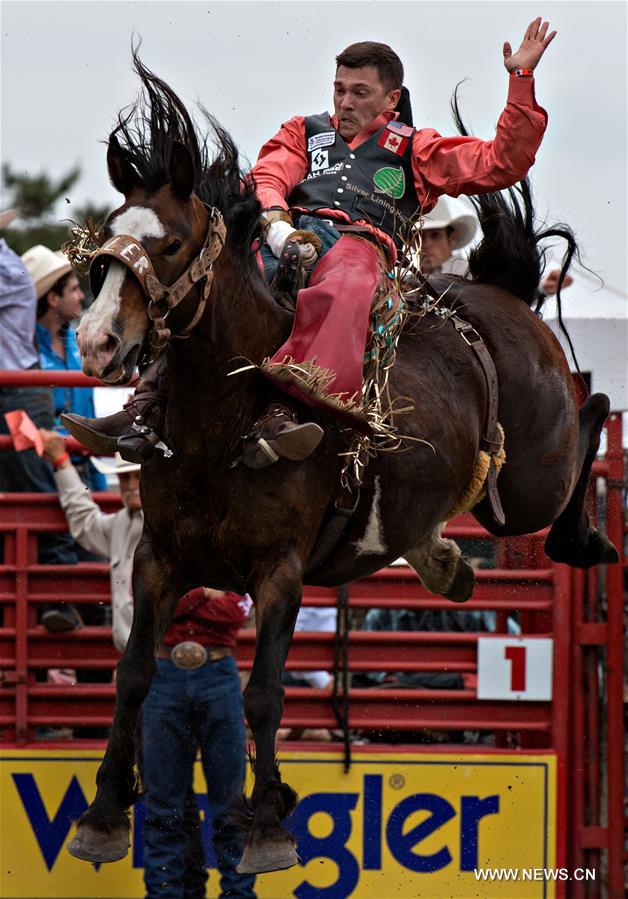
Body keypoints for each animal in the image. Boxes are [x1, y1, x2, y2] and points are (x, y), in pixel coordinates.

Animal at [63, 54, 620, 872]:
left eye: (167, 245)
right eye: (106, 240)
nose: (97, 341)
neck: (221, 424)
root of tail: (495, 299)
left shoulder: (280, 571)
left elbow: (263, 692)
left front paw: (267, 825)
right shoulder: (158, 555)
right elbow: (133, 675)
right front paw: (103, 812)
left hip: (532, 481)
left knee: (596, 405)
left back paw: (584, 536)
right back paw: (444, 562)